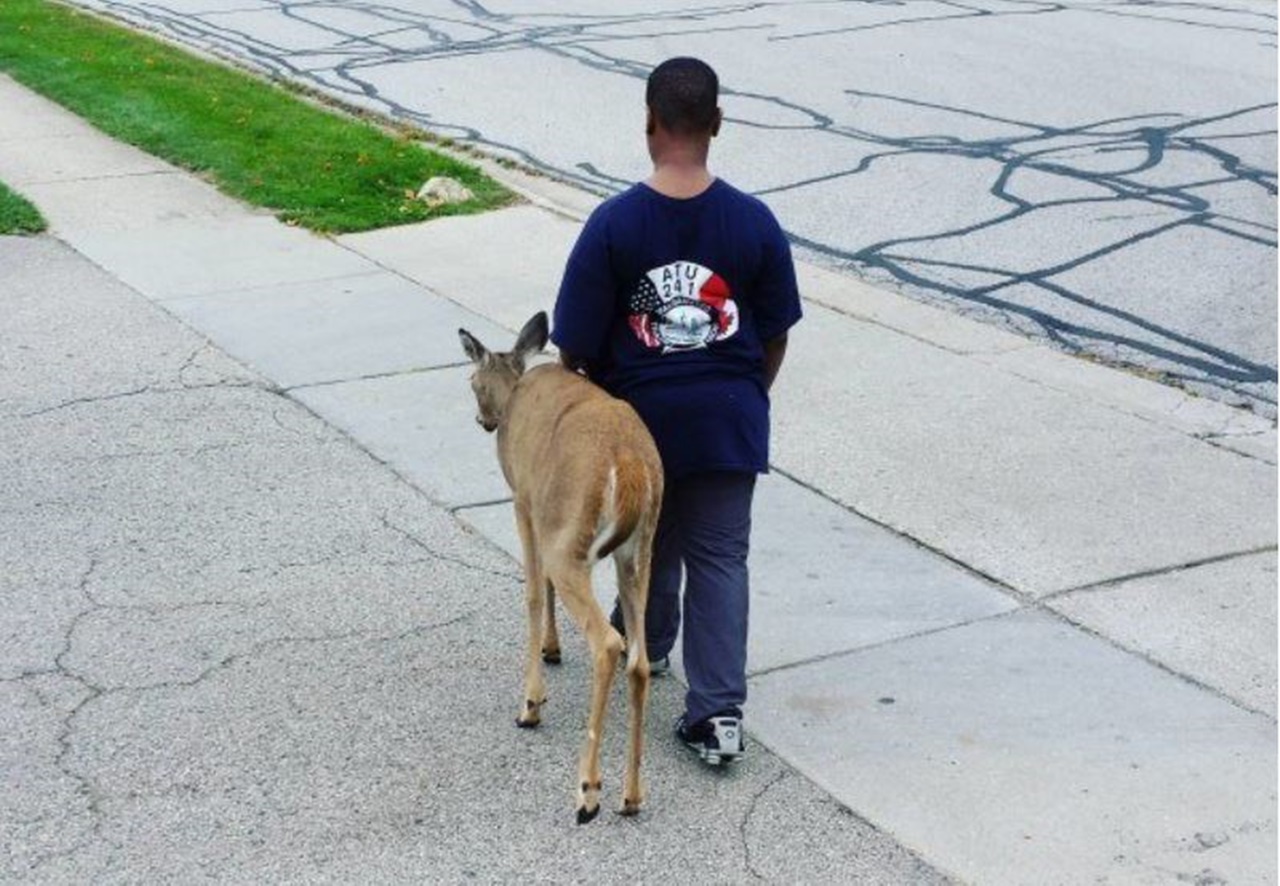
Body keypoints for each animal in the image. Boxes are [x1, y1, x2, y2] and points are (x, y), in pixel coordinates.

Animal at [458, 311, 660, 824]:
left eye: (470, 381)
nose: (483, 421)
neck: (514, 391)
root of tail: (630, 464)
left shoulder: (525, 502)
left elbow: (532, 590)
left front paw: (532, 700)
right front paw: (552, 648)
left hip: (570, 538)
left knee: (607, 643)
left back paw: (588, 792)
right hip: (639, 550)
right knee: (639, 659)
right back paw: (631, 796)